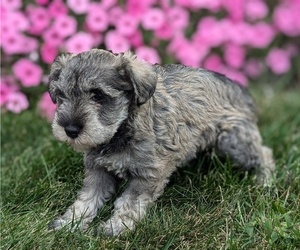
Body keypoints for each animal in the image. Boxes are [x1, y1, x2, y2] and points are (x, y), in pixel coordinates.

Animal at [48, 48, 276, 236]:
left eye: (98, 95)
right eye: (61, 95)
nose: (70, 129)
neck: (120, 131)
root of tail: (239, 89)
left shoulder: (148, 174)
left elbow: (129, 202)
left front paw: (116, 226)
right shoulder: (98, 170)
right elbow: (86, 199)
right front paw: (70, 223)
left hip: (232, 140)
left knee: (264, 153)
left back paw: (265, 182)